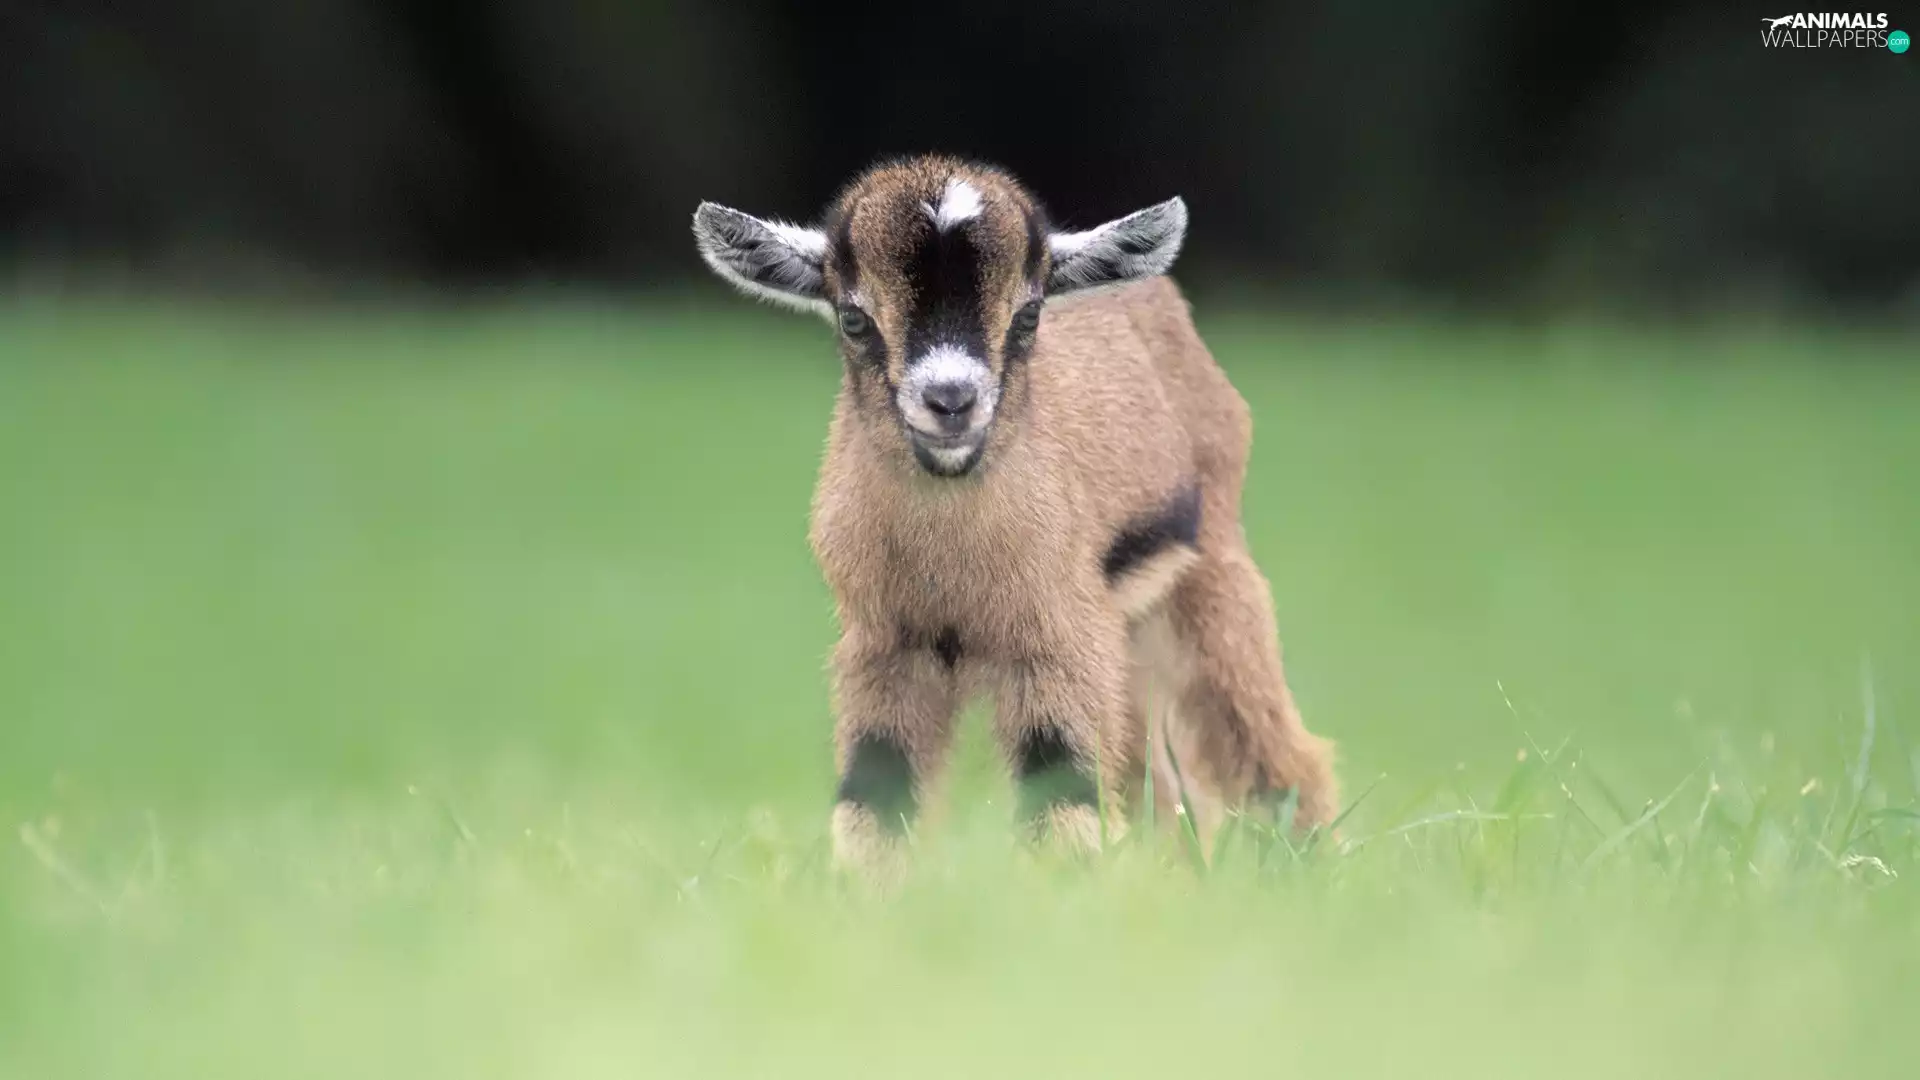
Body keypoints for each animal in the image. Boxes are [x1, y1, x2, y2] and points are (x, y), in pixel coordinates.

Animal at [692, 155, 1336, 870]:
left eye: (1027, 316)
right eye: (853, 319)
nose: (951, 401)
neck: (949, 570)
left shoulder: (1057, 641)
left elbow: (1062, 793)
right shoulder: (886, 647)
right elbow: (875, 796)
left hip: (1207, 579)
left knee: (1275, 756)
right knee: (1159, 790)